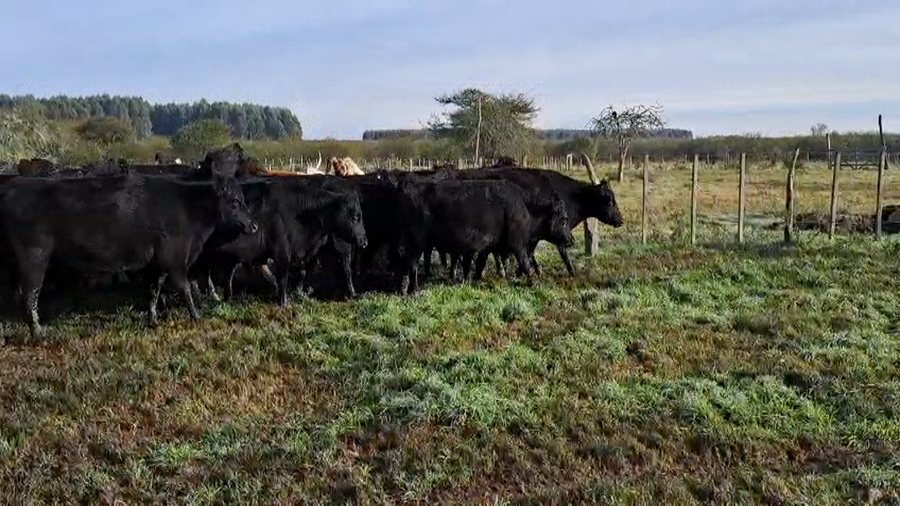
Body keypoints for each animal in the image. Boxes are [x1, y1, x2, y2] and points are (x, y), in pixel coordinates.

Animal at [0, 148, 257, 338]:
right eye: (234, 201)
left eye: (243, 199)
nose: (253, 226)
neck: (189, 208)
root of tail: (13, 188)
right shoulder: (174, 259)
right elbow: (184, 287)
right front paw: (196, 315)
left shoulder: (158, 262)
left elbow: (154, 289)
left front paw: (153, 319)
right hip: (34, 257)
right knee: (30, 293)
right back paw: (38, 333)